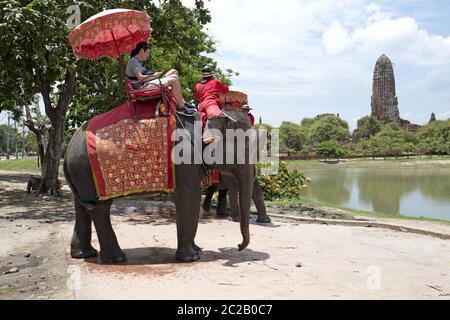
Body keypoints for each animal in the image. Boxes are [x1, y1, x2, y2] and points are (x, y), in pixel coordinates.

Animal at [63, 109, 255, 262]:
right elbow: (189, 201)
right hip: (86, 169)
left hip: (81, 174)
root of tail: (68, 147)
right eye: (244, 148)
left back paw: (85, 254)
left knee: (83, 206)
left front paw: (198, 251)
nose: (238, 246)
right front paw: (192, 258)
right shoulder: (184, 163)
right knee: (100, 208)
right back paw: (116, 259)